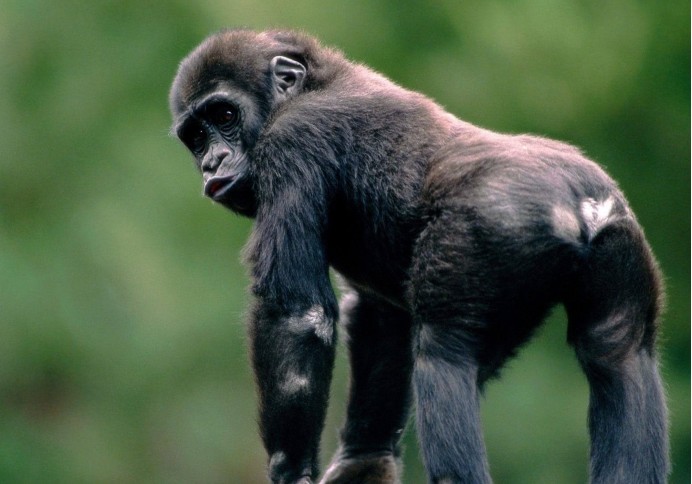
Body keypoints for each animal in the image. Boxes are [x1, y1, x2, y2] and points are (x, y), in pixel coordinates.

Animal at [166, 30, 664, 484]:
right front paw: (364, 461)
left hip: (489, 225)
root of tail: (581, 203)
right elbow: (383, 318)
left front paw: (292, 471)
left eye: (225, 115)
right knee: (618, 355)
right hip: (620, 237)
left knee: (443, 353)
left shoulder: (291, 139)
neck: (314, 82)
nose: (212, 162)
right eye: (196, 137)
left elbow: (296, 314)